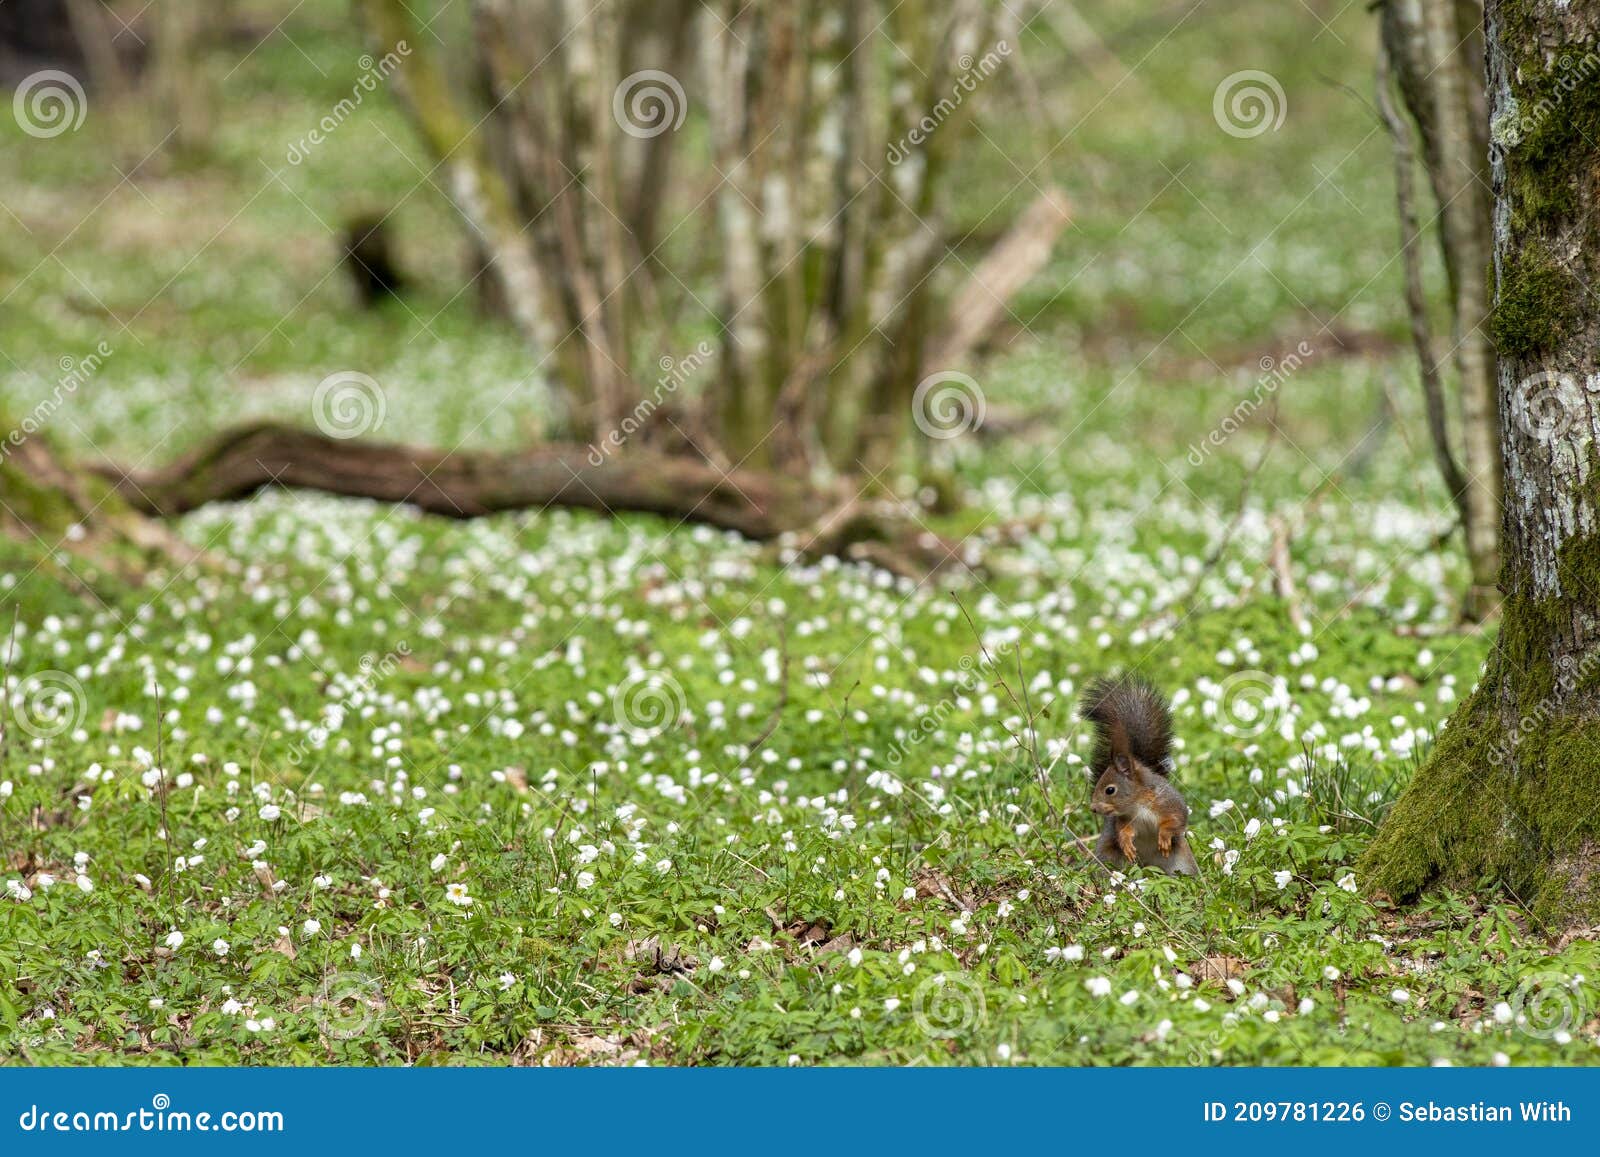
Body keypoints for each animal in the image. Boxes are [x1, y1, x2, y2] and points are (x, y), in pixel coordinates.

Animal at [1081, 668, 1196, 876]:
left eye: (1110, 790)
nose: (1093, 808)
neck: (1138, 803)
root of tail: (1149, 866)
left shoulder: (1168, 802)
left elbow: (1177, 819)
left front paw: (1164, 836)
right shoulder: (1125, 819)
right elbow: (1123, 830)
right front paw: (1126, 842)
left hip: (1181, 861)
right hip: (1108, 856)